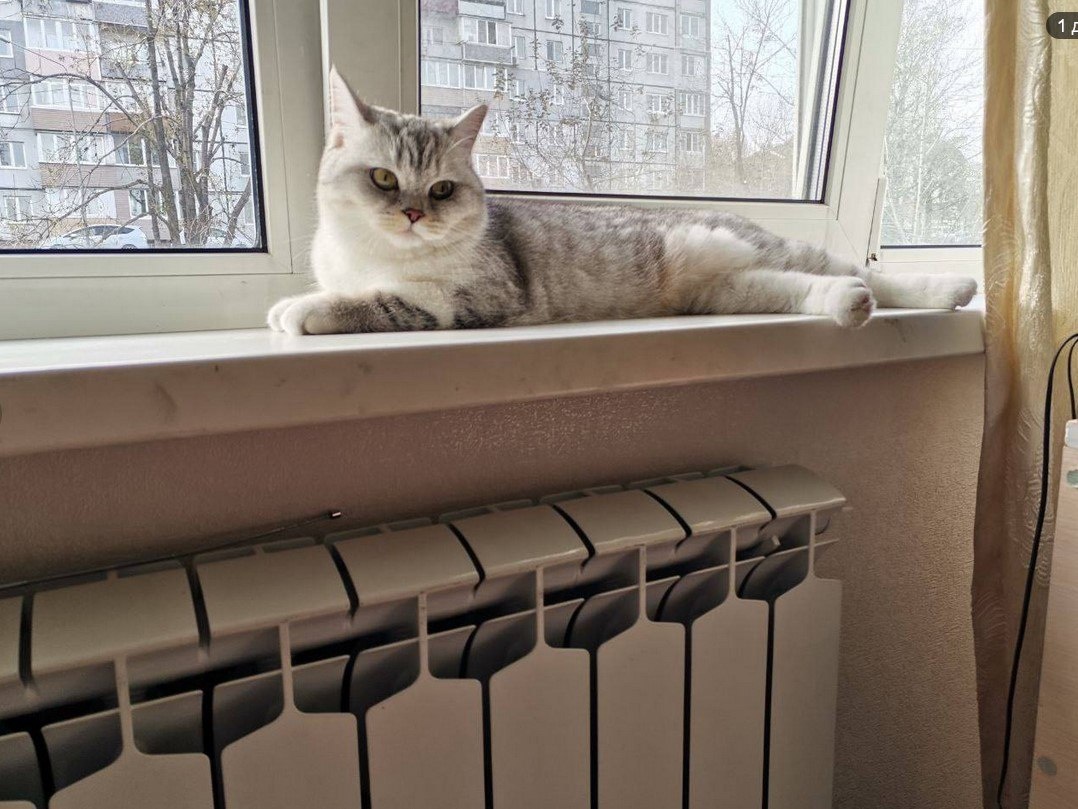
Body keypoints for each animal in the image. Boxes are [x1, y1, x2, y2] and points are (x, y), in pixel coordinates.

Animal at [268, 67, 977, 336]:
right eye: (384, 179)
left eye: (441, 188)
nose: (413, 214)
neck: (372, 253)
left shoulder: (471, 299)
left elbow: (378, 302)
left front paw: (299, 309)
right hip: (735, 292)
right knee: (824, 290)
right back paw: (851, 308)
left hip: (772, 253)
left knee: (869, 274)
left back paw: (951, 288)